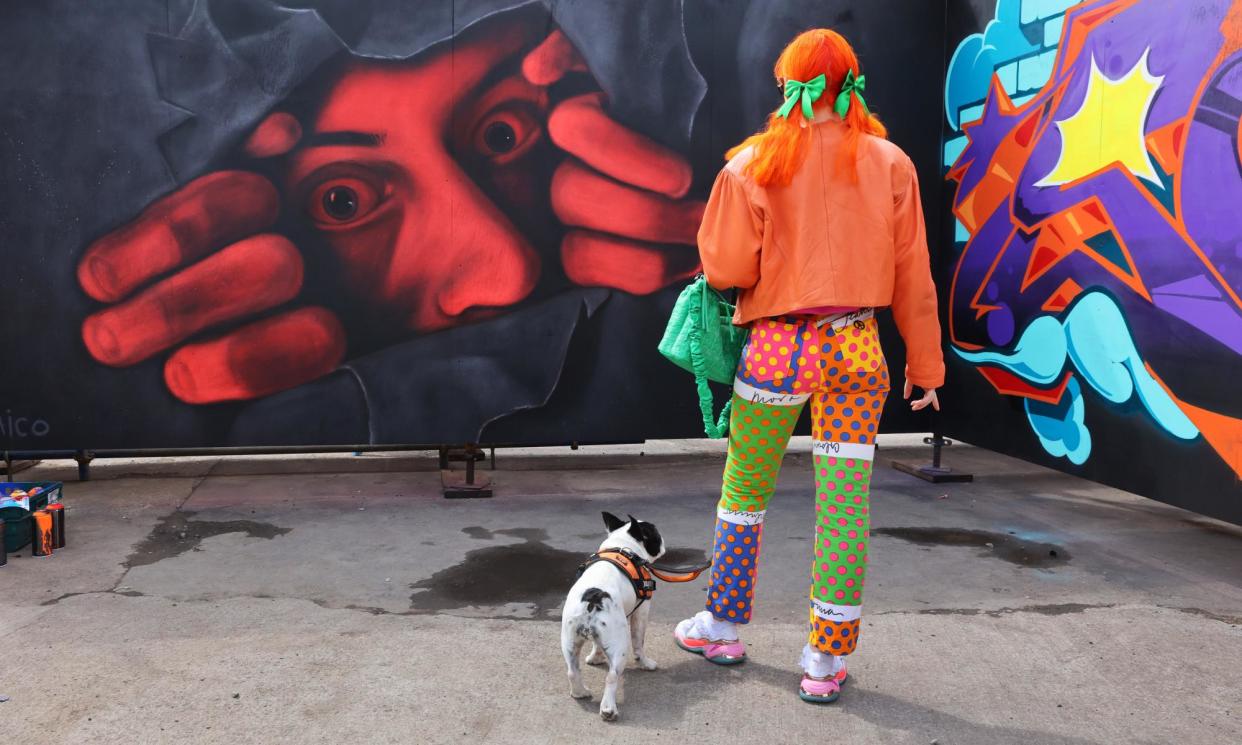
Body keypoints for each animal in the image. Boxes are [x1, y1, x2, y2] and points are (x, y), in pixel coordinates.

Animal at [558, 511, 665, 720]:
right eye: (655, 534)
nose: (663, 540)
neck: (623, 546)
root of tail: (593, 598)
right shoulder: (642, 611)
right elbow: (639, 642)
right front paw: (645, 663)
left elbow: (597, 645)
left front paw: (595, 657)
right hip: (620, 644)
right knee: (612, 675)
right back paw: (608, 709)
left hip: (569, 639)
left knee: (572, 671)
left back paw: (580, 692)